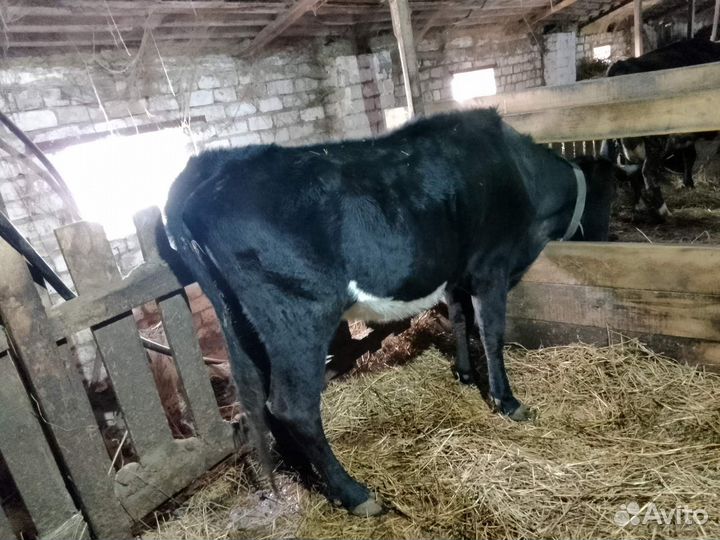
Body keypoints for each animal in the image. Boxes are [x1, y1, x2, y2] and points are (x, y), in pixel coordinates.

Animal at [164, 108, 616, 517]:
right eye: (611, 200)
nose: (609, 239)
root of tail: (210, 170)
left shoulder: (455, 271)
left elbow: (459, 318)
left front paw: (465, 374)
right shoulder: (492, 266)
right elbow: (491, 332)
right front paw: (507, 401)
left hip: (244, 324)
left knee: (265, 404)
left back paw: (309, 477)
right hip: (297, 314)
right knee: (293, 406)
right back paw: (355, 494)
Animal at [604, 38, 720, 219]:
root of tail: (623, 64)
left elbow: (689, 156)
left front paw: (689, 184)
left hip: (629, 143)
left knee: (634, 172)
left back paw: (639, 207)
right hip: (654, 140)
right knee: (647, 172)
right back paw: (663, 210)